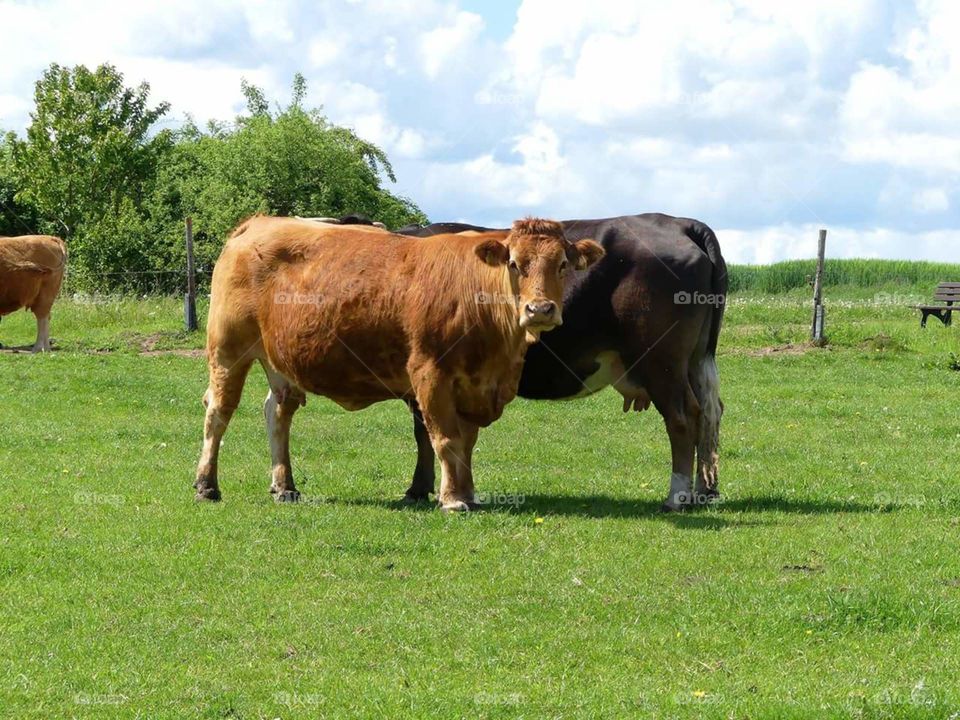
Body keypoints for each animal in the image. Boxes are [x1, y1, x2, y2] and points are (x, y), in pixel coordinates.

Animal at [193, 215, 604, 510]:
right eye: (515, 264)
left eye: (563, 264)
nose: (540, 309)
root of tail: (259, 222)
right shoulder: (431, 375)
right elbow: (445, 439)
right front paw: (452, 499)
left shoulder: (476, 384)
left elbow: (467, 443)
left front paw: (467, 493)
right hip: (229, 348)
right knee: (218, 411)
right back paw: (207, 485)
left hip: (279, 359)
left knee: (278, 412)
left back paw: (284, 487)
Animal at [393, 214, 727, 512]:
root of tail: (680, 222)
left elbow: (426, 432)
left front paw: (418, 489)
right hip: (693, 361)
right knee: (708, 414)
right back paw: (702, 491)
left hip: (662, 362)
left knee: (682, 418)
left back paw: (677, 497)